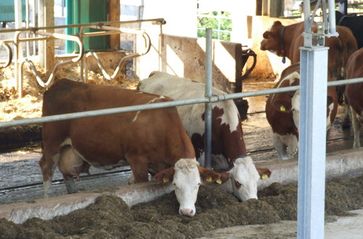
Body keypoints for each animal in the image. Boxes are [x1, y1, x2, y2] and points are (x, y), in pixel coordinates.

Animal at [40, 78, 228, 217]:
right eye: (175, 184)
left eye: (198, 184)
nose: (187, 212)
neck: (160, 124)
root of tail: (61, 83)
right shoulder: (137, 160)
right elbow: (141, 186)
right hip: (51, 142)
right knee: (46, 169)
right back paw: (46, 199)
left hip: (69, 150)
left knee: (67, 173)